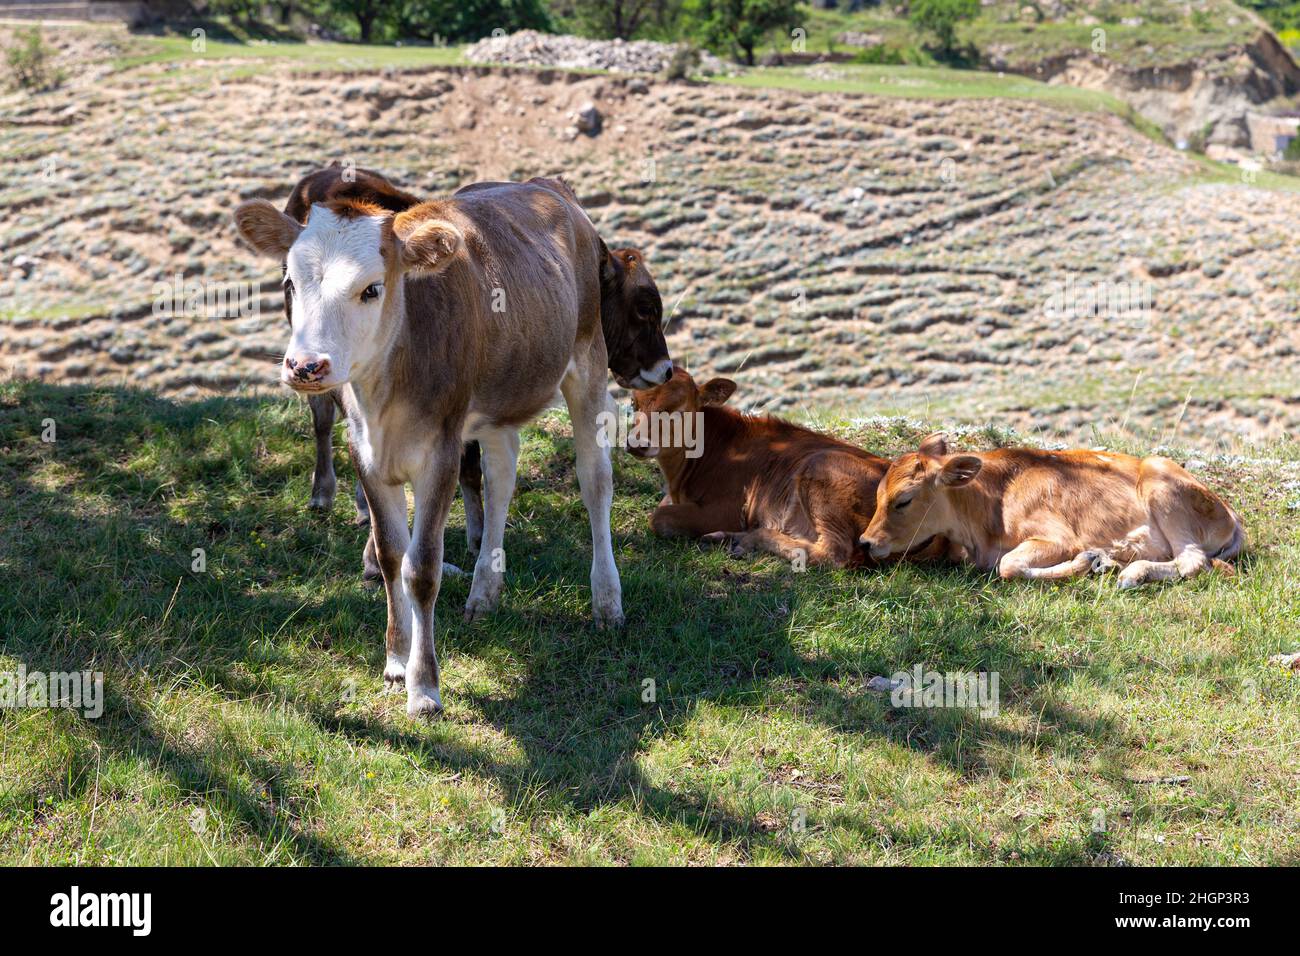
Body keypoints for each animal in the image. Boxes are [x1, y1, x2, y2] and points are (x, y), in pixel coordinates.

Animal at [629, 369, 935, 567]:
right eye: (633, 403)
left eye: (677, 409)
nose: (636, 443)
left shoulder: (726, 509)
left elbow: (657, 518)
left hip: (821, 470)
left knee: (833, 554)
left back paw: (748, 539)